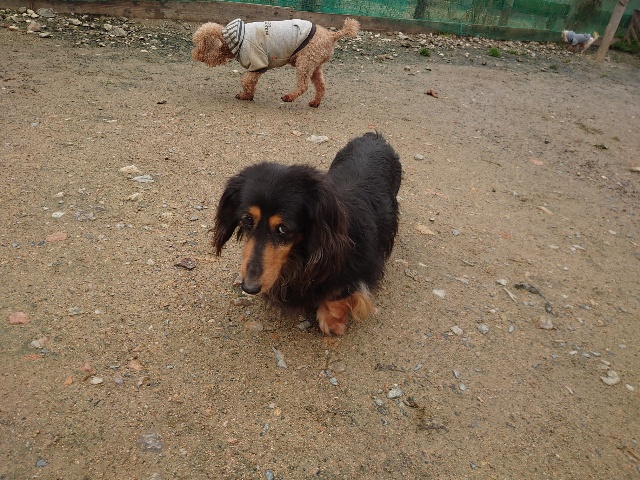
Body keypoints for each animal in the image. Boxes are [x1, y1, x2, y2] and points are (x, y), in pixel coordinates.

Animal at [191, 17, 359, 107]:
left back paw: (289, 97)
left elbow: (246, 80)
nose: (193, 54)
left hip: (305, 61)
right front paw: (249, 95)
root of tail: (331, 35)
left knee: (303, 85)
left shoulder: (258, 62)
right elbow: (250, 81)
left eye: (199, 44)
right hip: (315, 65)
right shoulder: (257, 67)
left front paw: (245, 95)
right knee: (321, 85)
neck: (233, 40)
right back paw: (315, 102)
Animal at [213, 133, 402, 335]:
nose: (249, 287)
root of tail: (373, 136)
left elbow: (338, 293)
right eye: (247, 220)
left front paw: (332, 320)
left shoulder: (363, 266)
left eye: (283, 229)